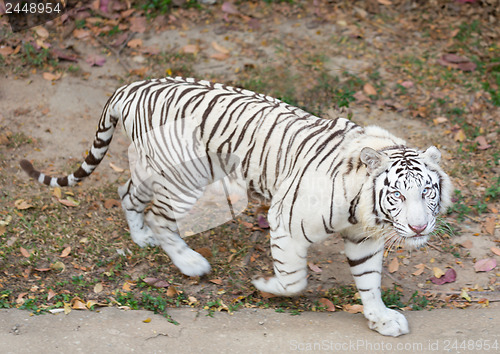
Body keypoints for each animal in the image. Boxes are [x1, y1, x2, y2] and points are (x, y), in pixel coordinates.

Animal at [19, 76, 452, 336]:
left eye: (428, 192)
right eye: (397, 195)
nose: (418, 228)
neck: (365, 211)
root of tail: (134, 85)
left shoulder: (364, 239)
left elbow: (369, 282)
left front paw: (381, 319)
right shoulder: (286, 220)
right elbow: (294, 278)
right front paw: (265, 286)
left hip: (149, 169)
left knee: (128, 193)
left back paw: (141, 237)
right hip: (184, 177)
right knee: (161, 216)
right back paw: (190, 263)